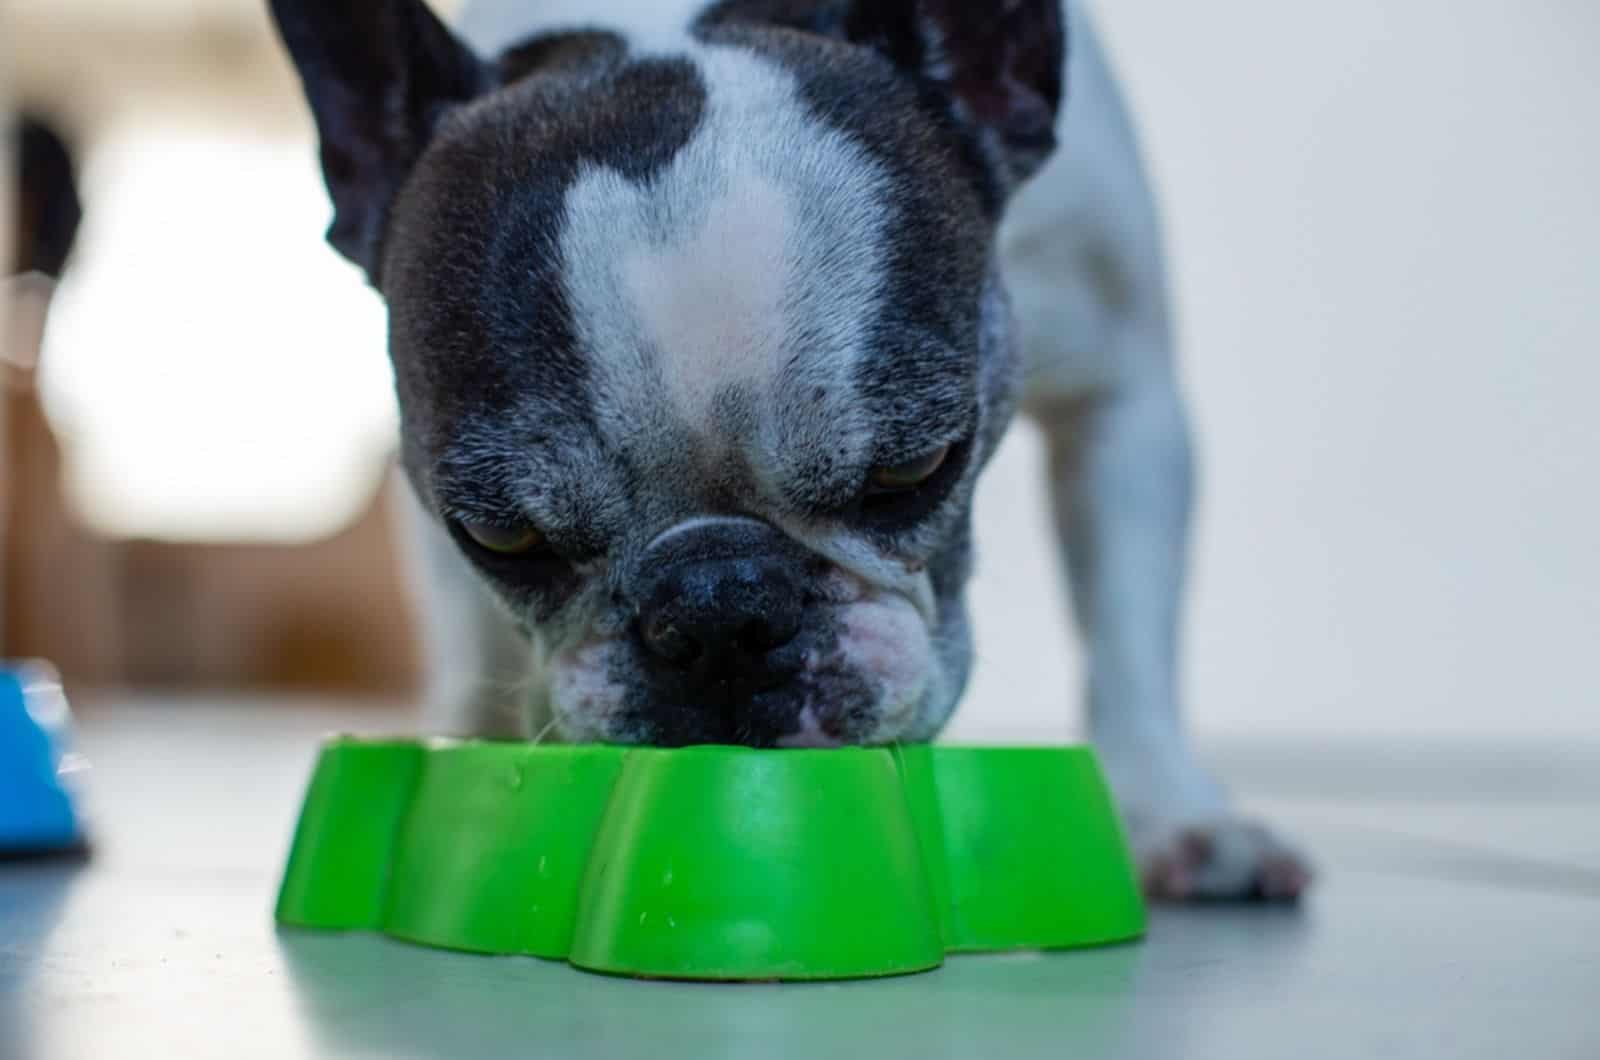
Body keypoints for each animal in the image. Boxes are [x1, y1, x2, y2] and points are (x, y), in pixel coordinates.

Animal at [268, 0, 1305, 903]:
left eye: (914, 471)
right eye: (501, 537)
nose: (718, 610)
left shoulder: (1120, 394)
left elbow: (1128, 636)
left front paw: (1172, 815)